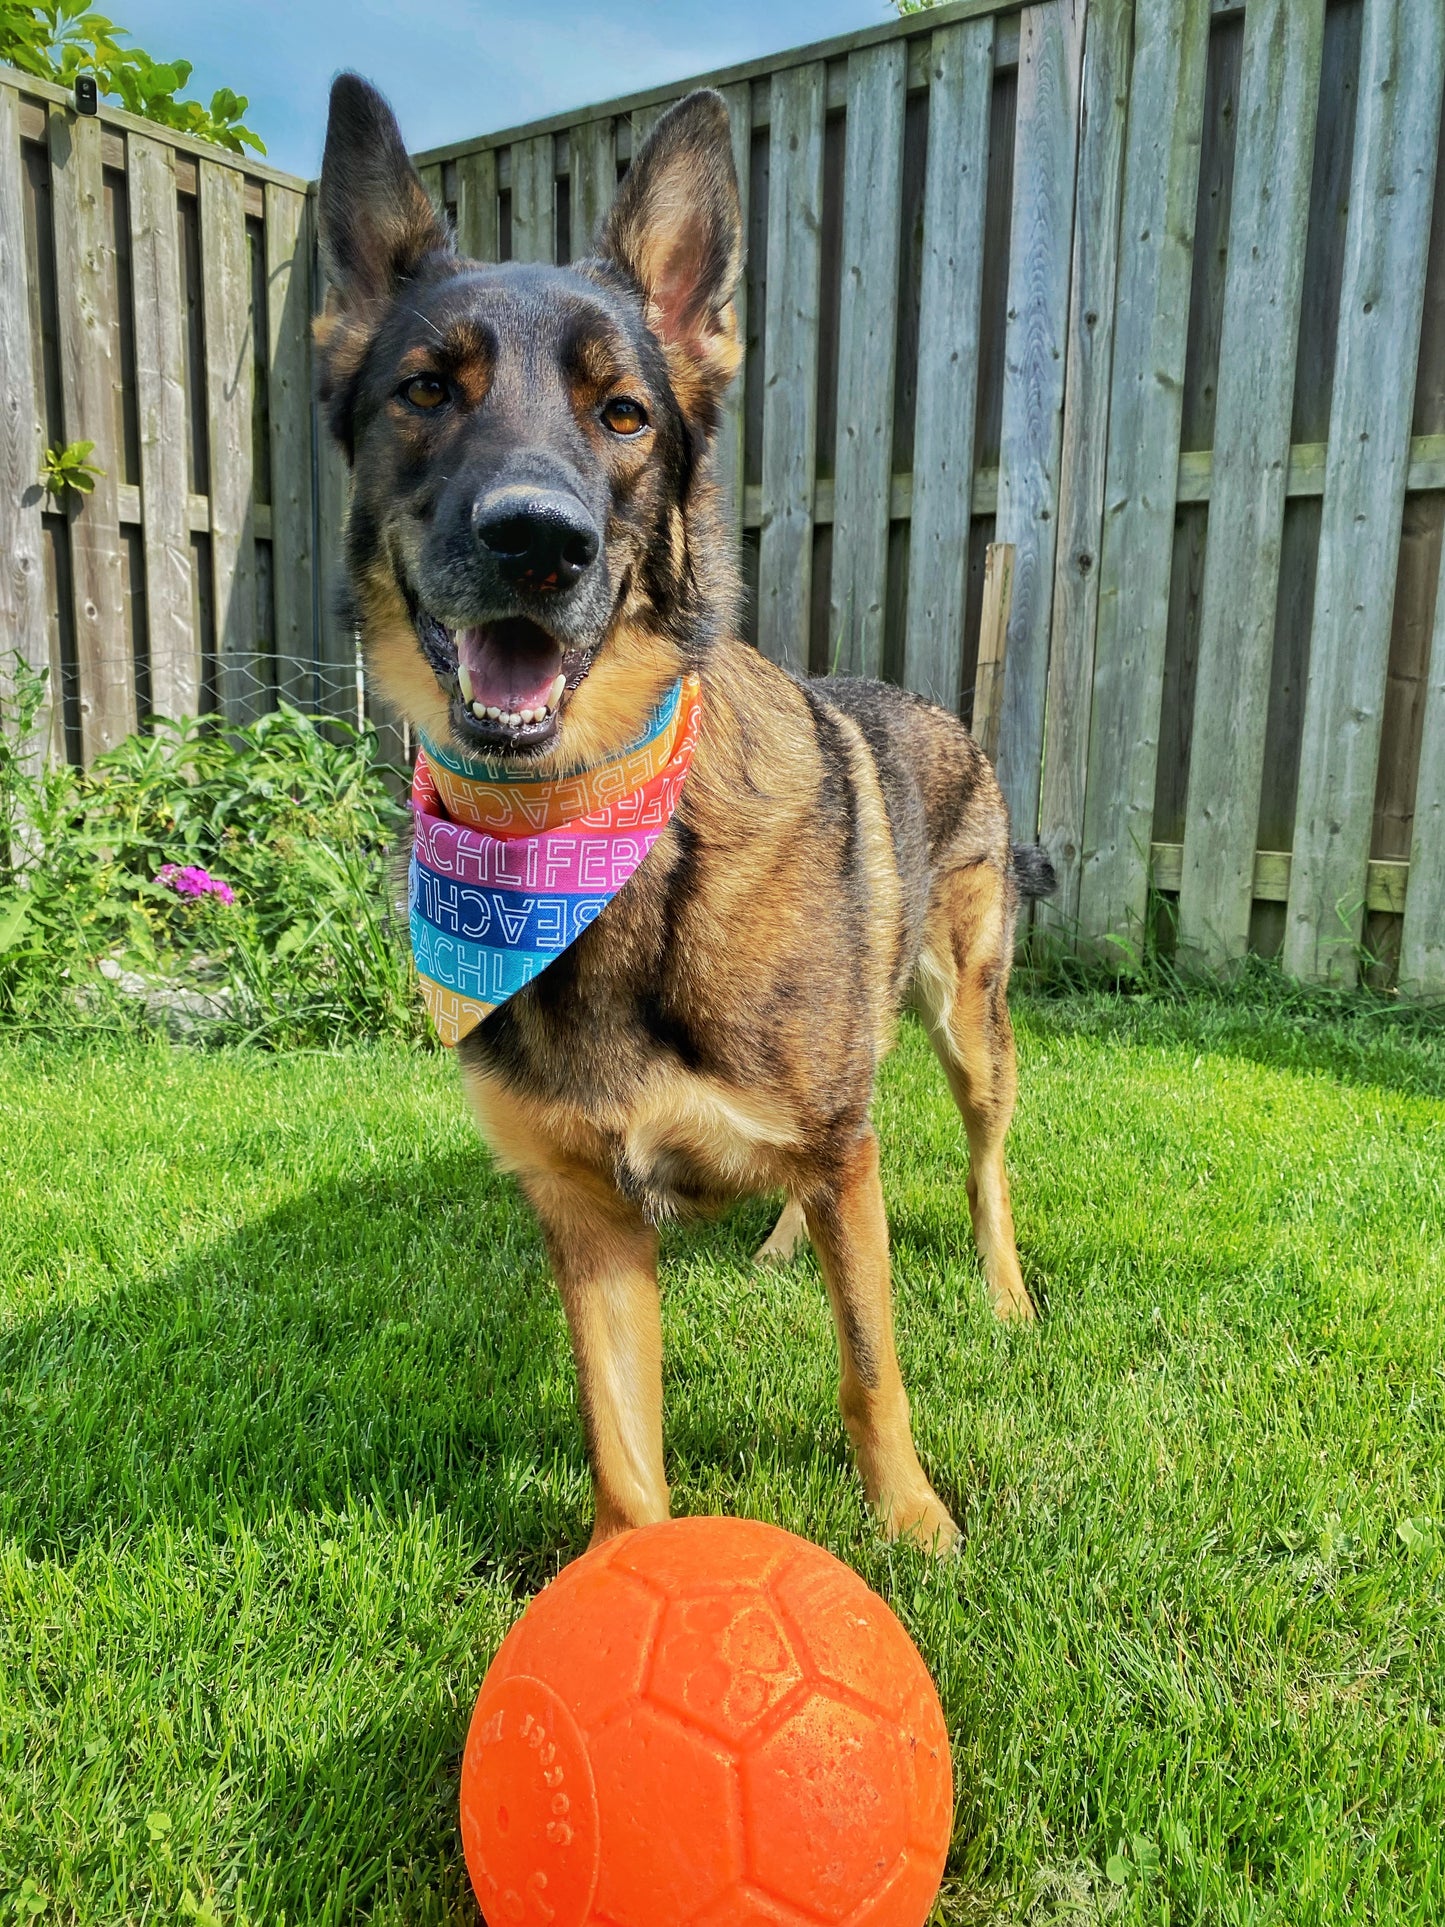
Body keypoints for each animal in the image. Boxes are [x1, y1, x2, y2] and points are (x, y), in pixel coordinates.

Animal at [315, 75, 1055, 1557]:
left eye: (622, 414)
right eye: (424, 391)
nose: (536, 541)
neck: (584, 836)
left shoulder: (836, 1152)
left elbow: (869, 1359)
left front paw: (912, 1521)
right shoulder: (587, 1211)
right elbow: (618, 1434)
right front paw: (618, 1561)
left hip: (969, 1021)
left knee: (976, 1164)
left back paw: (1000, 1289)